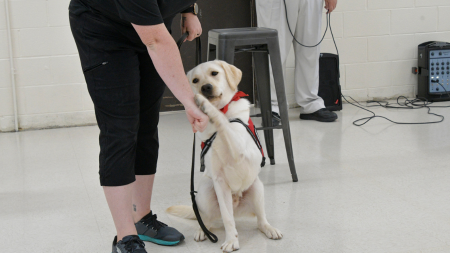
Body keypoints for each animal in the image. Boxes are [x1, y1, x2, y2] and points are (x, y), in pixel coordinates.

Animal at [169, 60, 282, 252]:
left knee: (261, 220)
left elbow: (222, 121)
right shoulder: (220, 182)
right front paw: (231, 240)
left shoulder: (239, 148)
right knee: (206, 219)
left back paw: (270, 229)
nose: (206, 88)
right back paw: (203, 231)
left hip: (257, 188)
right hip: (206, 189)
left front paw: (205, 105)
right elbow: (227, 218)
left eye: (214, 73)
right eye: (195, 80)